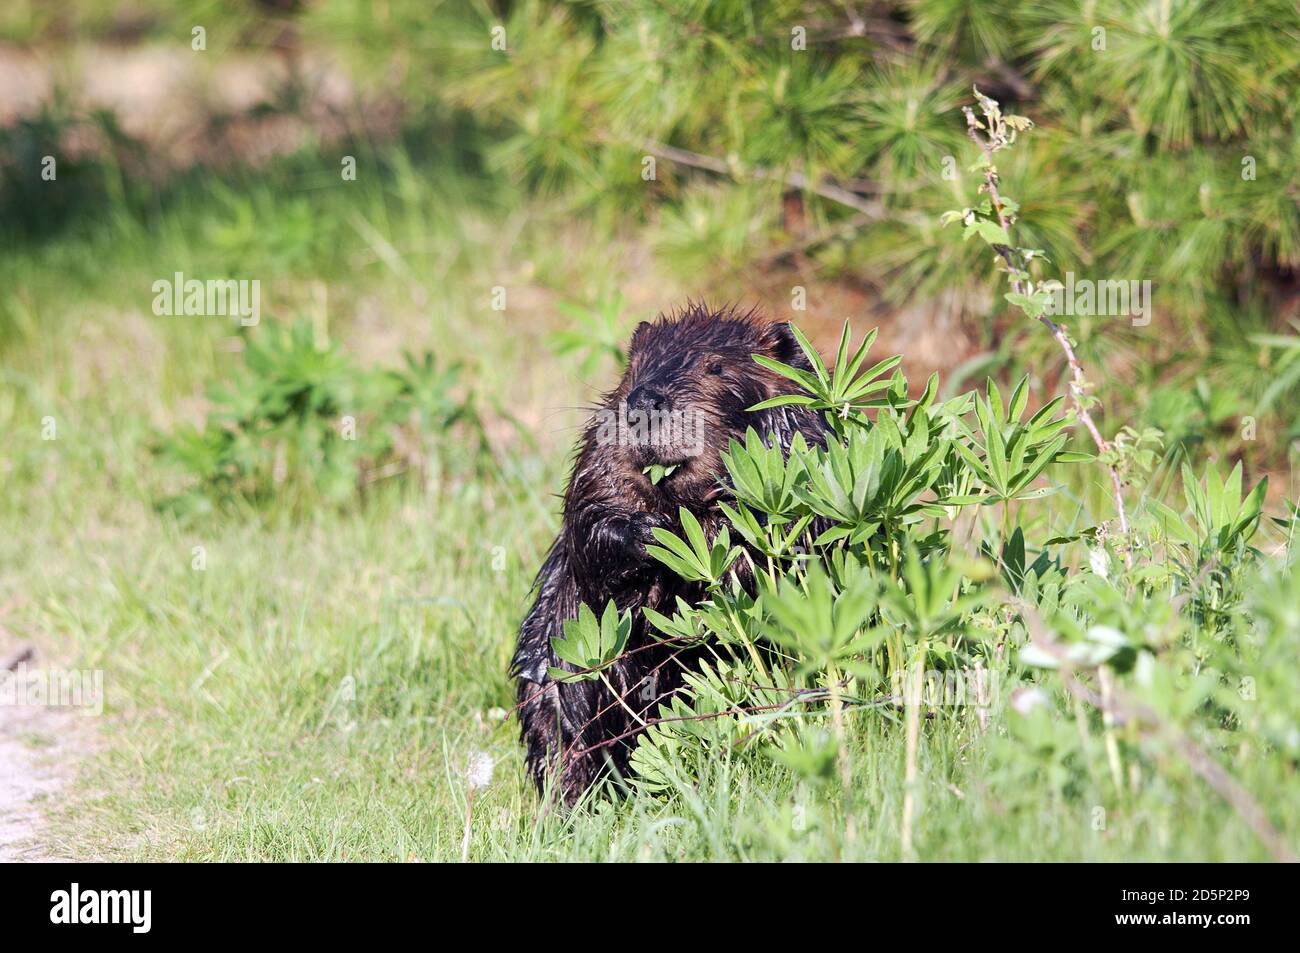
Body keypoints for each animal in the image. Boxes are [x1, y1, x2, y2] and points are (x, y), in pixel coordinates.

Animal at [512, 304, 826, 800]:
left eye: (716, 367)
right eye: (634, 368)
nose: (643, 403)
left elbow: (788, 538)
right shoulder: (597, 462)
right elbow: (588, 528)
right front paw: (650, 533)